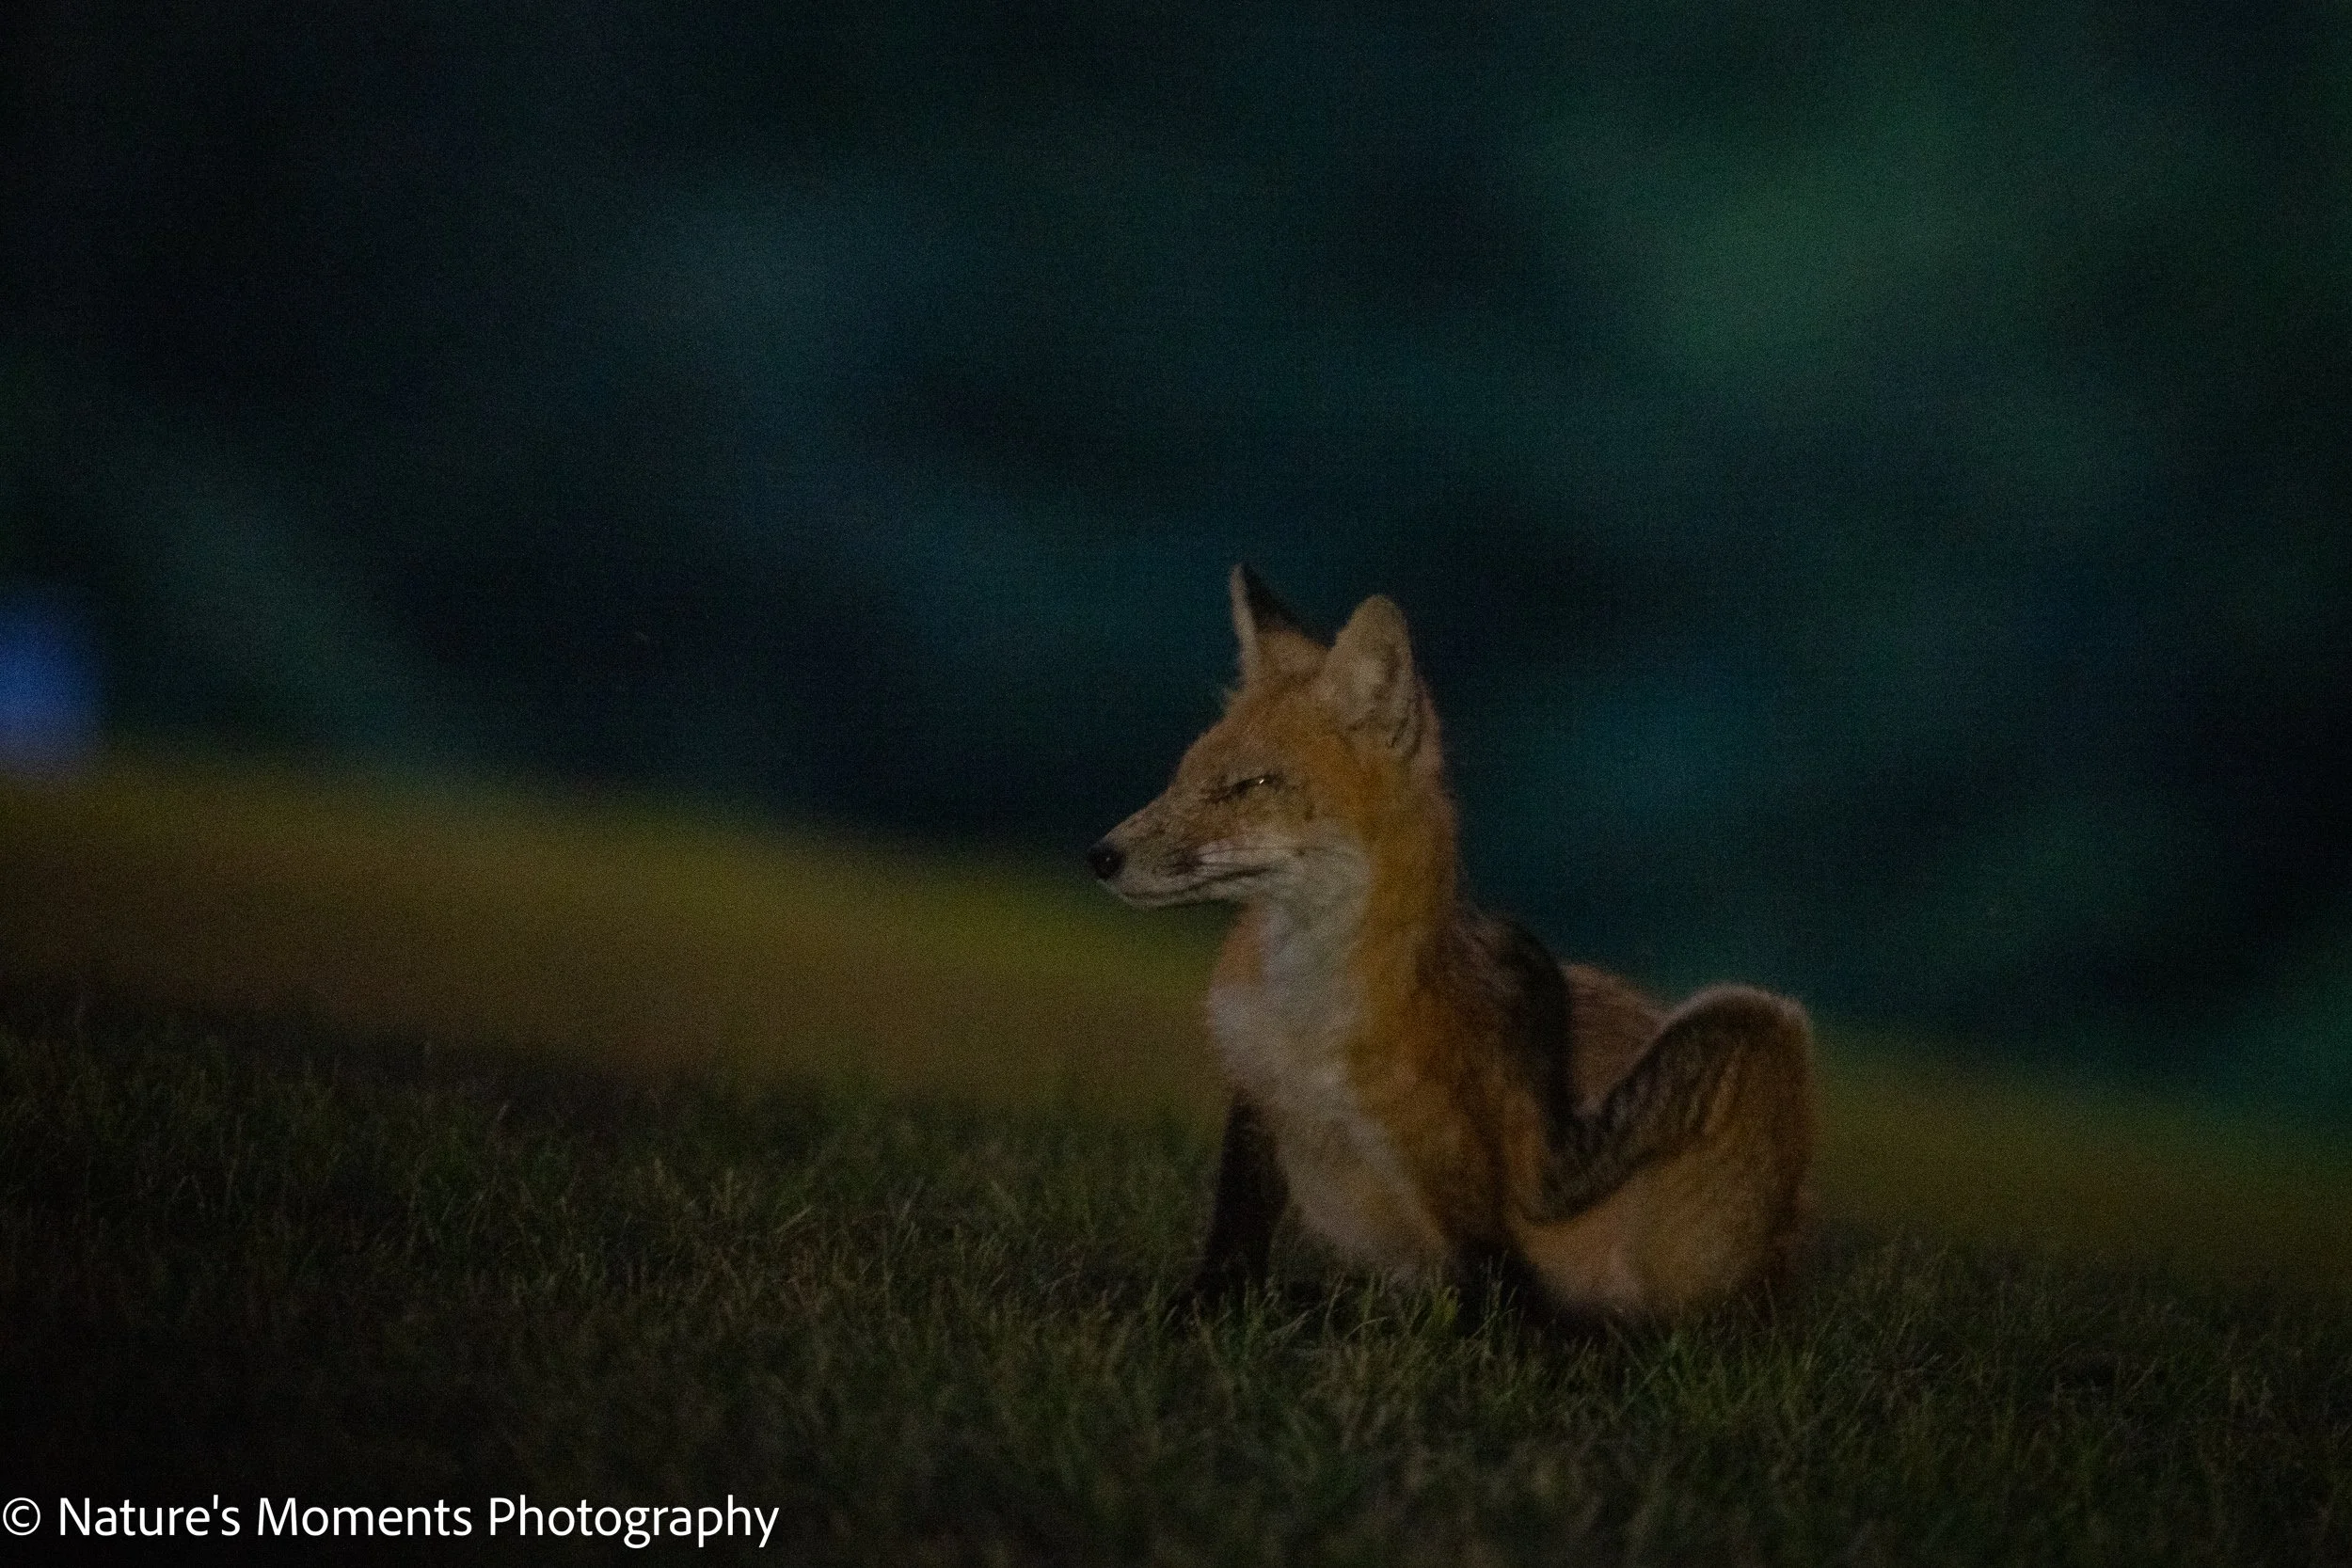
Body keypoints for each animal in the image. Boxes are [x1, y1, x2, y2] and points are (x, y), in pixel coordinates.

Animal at [1088, 567, 1816, 1323]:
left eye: (1251, 785)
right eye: (1182, 778)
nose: (1101, 855)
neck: (1305, 1030)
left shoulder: (1478, 1228)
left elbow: (1455, 1303)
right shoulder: (1255, 1105)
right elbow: (1231, 1250)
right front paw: (1186, 1299)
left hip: (1759, 1023)